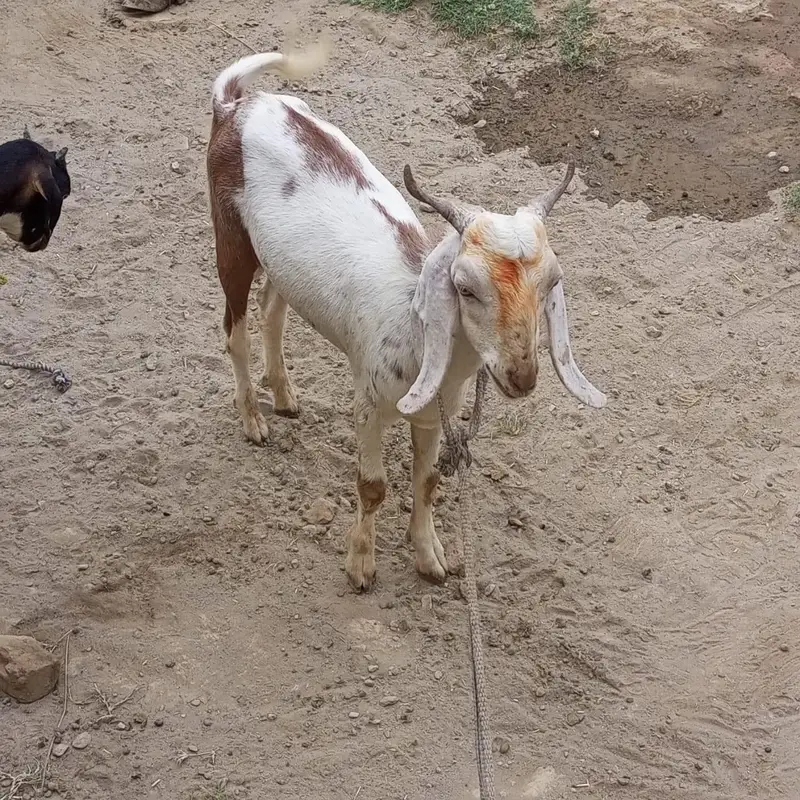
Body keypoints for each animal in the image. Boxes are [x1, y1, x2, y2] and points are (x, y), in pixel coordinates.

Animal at [207, 49, 607, 590]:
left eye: (548, 286)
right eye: (464, 287)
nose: (522, 376)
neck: (414, 330)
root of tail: (235, 106)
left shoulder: (434, 415)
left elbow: (430, 480)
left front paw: (430, 558)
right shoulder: (368, 404)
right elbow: (372, 485)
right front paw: (360, 566)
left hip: (279, 263)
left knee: (274, 307)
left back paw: (286, 398)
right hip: (230, 236)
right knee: (234, 331)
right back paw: (253, 420)